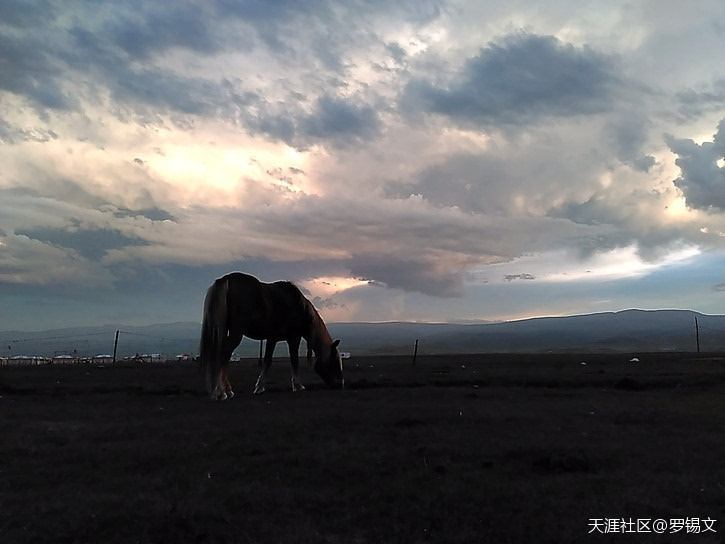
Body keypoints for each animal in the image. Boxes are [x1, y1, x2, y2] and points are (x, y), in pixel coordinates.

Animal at [198, 272, 346, 400]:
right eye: (334, 360)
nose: (341, 384)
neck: (300, 308)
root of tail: (226, 279)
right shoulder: (294, 338)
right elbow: (294, 360)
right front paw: (298, 386)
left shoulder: (272, 339)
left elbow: (267, 361)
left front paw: (259, 387)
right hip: (236, 333)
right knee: (223, 354)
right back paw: (220, 392)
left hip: (223, 330)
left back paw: (227, 390)